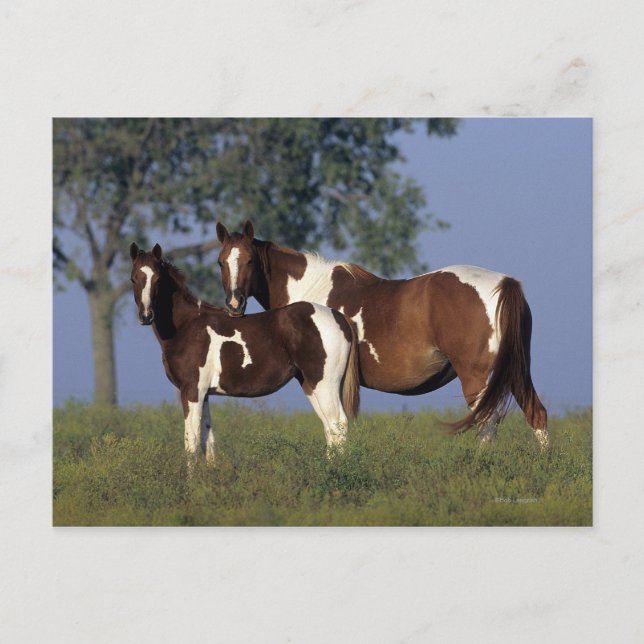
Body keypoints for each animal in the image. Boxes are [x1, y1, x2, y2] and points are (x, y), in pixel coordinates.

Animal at [129, 242, 360, 465]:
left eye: (158, 279)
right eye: (133, 278)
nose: (146, 316)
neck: (187, 325)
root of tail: (340, 317)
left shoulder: (191, 391)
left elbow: (191, 443)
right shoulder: (204, 394)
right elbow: (207, 441)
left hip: (325, 384)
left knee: (337, 424)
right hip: (310, 385)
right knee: (329, 429)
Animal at [215, 221, 549, 448]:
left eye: (249, 260)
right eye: (221, 261)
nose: (234, 304)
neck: (310, 295)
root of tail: (504, 284)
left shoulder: (318, 379)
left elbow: (334, 428)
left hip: (479, 379)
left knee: (487, 426)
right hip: (516, 372)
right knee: (537, 415)